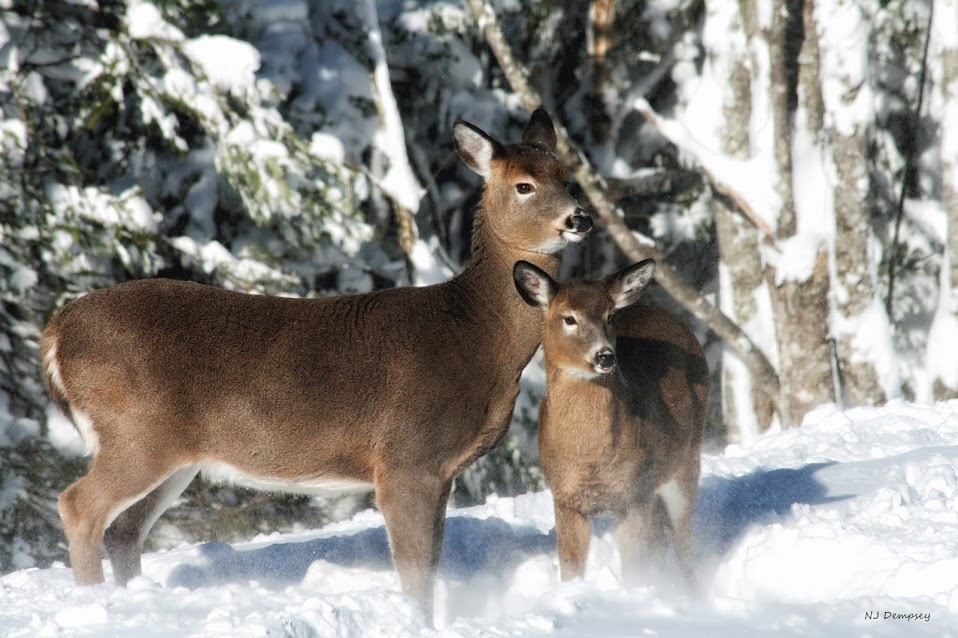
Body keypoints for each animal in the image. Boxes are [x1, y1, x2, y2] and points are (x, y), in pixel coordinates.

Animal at [45, 109, 588, 616]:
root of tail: (57, 331)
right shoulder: (406, 458)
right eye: (523, 185)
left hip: (176, 452)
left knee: (124, 530)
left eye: (566, 177)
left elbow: (431, 565)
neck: (474, 334)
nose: (580, 217)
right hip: (136, 429)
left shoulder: (440, 470)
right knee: (79, 507)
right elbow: (415, 572)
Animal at [512, 258, 708, 592]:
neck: (590, 457)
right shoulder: (565, 499)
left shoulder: (633, 495)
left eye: (610, 316)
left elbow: (635, 568)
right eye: (569, 318)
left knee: (684, 542)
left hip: (684, 464)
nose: (605, 356)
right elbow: (571, 570)